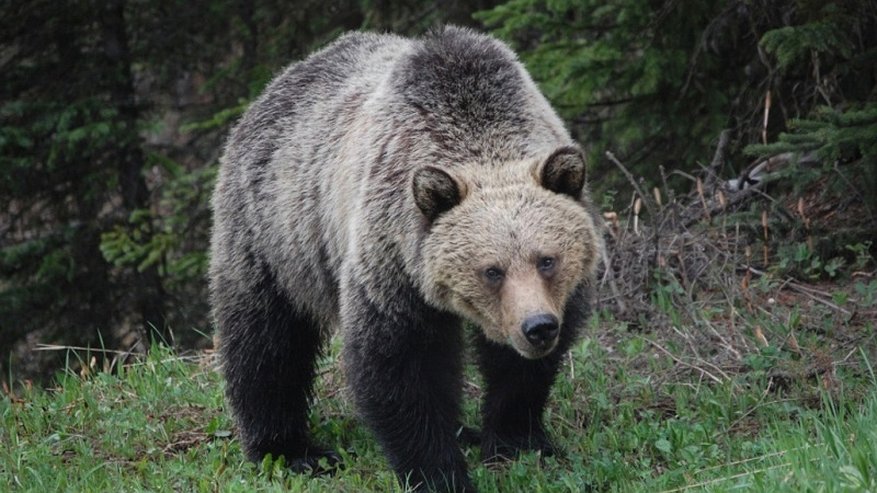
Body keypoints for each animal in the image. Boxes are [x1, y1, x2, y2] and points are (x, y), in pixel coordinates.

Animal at [210, 26, 604, 492]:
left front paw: (519, 441)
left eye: (547, 260)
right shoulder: (391, 260)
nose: (538, 327)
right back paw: (290, 450)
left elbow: (520, 371)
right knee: (266, 341)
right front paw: (440, 472)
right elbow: (401, 365)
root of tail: (277, 83)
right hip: (275, 232)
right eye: (491, 270)